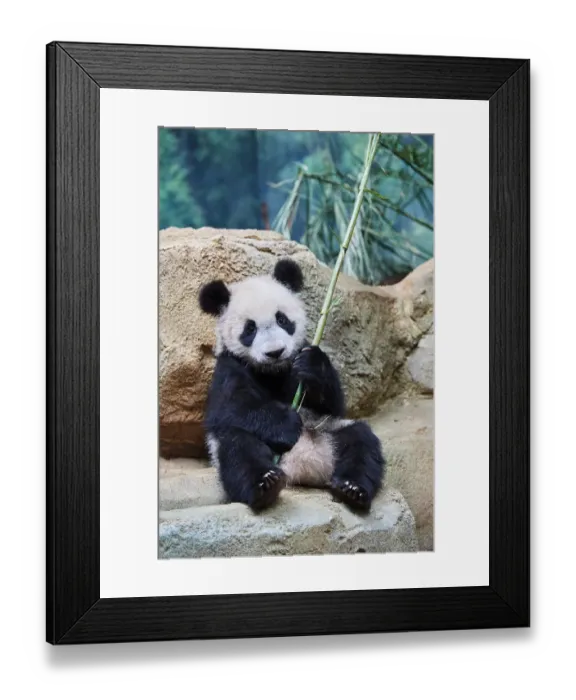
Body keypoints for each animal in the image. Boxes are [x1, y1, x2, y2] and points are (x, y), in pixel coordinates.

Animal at [198, 258, 385, 513]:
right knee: (238, 448)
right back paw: (265, 485)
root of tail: (303, 467)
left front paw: (312, 366)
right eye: (250, 329)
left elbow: (334, 404)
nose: (275, 352)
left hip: (329, 430)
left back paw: (352, 489)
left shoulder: (300, 356)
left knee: (361, 442)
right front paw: (286, 423)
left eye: (282, 319)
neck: (273, 371)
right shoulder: (229, 367)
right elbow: (229, 408)